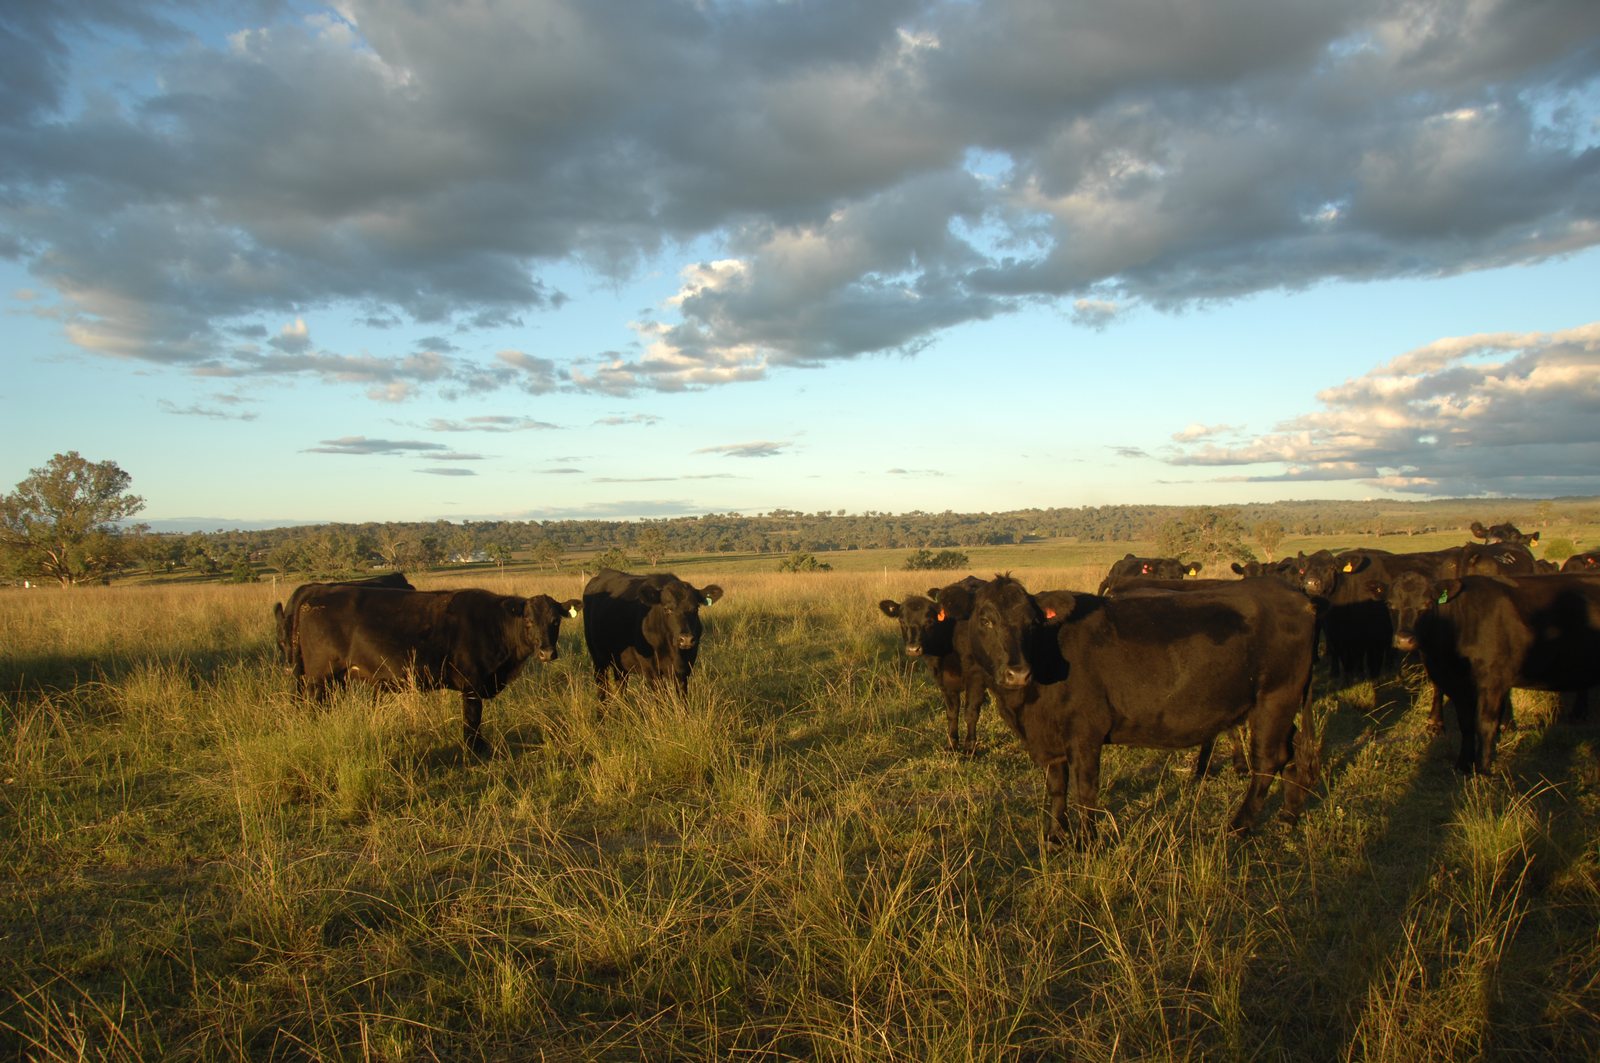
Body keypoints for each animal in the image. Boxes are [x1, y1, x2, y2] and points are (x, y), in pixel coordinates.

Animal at [294, 586, 582, 753]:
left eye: (555, 621)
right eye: (529, 621)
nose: (547, 653)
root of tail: (312, 601)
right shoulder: (471, 684)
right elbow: (472, 720)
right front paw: (475, 750)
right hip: (320, 678)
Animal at [582, 569, 724, 698]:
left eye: (696, 608)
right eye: (667, 609)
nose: (686, 639)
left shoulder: (685, 669)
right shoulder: (652, 671)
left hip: (620, 664)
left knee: (621, 685)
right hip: (598, 659)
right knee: (602, 686)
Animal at [879, 575, 988, 753]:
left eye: (930, 621)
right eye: (902, 621)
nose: (913, 649)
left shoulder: (976, 677)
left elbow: (971, 712)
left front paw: (969, 747)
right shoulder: (943, 680)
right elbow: (952, 713)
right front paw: (952, 744)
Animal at [937, 575, 1319, 843]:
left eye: (1032, 622)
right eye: (986, 620)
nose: (1018, 673)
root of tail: (1297, 595)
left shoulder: (1085, 733)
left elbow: (1085, 790)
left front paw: (1085, 842)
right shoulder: (1050, 739)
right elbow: (1057, 787)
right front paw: (1055, 836)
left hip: (1275, 698)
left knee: (1268, 761)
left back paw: (1238, 827)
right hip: (1282, 704)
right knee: (1293, 751)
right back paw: (1289, 813)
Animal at [1371, 572, 1600, 774]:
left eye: (1427, 603)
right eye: (1389, 604)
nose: (1404, 639)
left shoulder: (1493, 683)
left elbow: (1485, 724)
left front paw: (1482, 769)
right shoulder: (1457, 685)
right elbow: (1466, 724)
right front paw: (1463, 765)